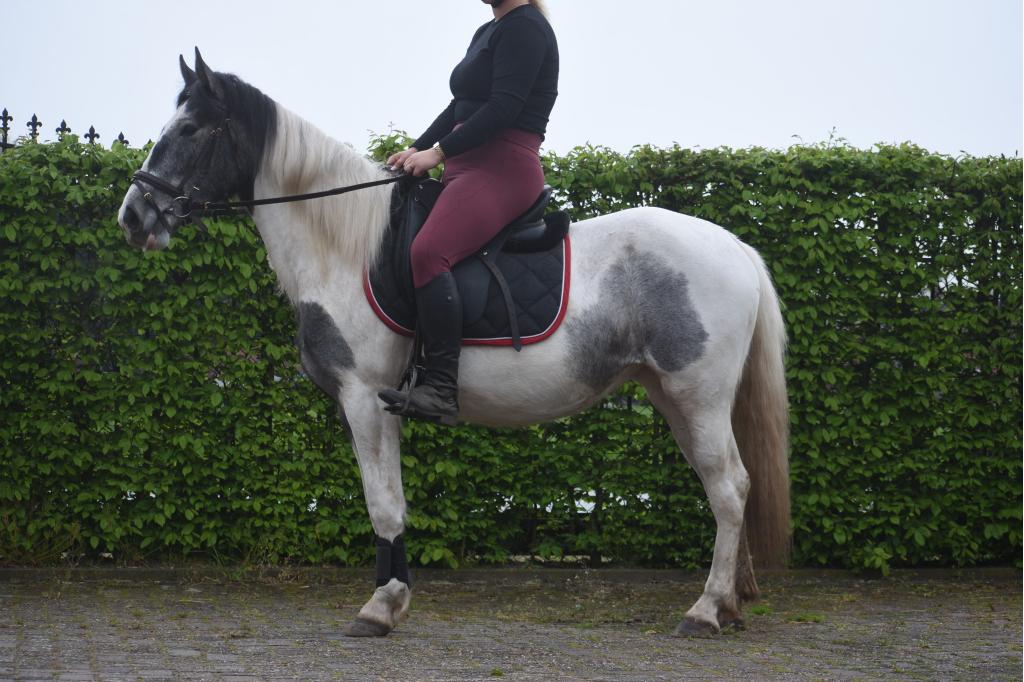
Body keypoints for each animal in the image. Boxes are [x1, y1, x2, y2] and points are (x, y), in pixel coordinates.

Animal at [117, 50, 790, 638]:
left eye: (189, 128)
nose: (132, 216)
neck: (347, 248)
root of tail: (735, 247)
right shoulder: (376, 404)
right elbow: (390, 501)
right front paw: (391, 601)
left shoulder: (365, 399)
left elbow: (383, 504)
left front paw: (380, 608)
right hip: (675, 398)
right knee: (729, 486)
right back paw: (730, 604)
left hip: (697, 396)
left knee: (729, 488)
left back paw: (705, 611)